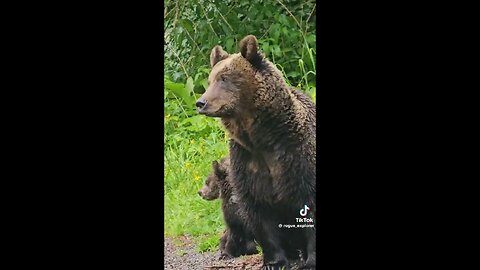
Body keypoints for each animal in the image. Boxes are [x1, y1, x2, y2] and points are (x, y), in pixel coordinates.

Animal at [195, 34, 316, 268]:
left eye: (224, 78)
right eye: (210, 80)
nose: (201, 102)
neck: (263, 138)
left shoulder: (297, 157)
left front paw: (310, 260)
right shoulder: (247, 161)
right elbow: (259, 210)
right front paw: (274, 261)